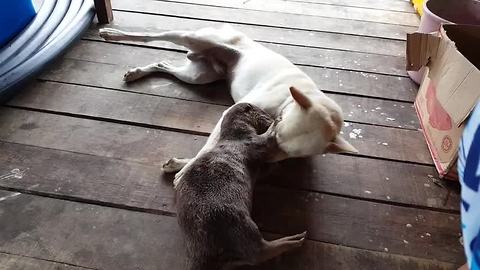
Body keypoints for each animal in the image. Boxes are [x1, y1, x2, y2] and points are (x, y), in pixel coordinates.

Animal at [100, 24, 356, 186]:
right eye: (277, 127)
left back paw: (138, 72)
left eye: (288, 153)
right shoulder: (230, 114)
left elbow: (215, 148)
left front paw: (180, 166)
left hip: (197, 75)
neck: (288, 101)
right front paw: (185, 171)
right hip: (194, 38)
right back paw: (113, 33)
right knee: (154, 35)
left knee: (164, 64)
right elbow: (209, 146)